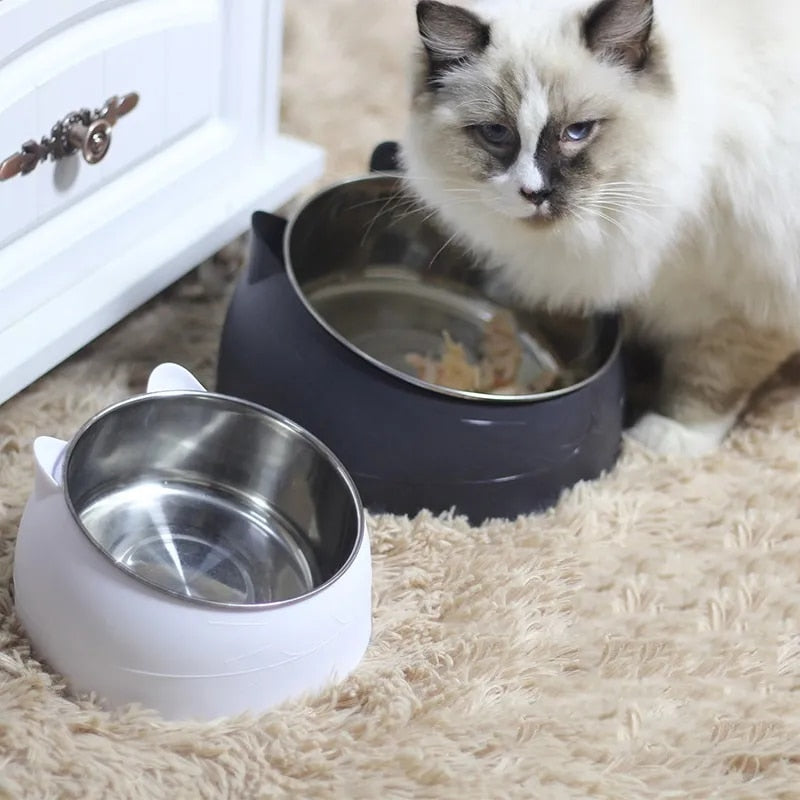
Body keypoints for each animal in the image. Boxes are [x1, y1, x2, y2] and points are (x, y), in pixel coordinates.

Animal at [404, 0, 800, 456]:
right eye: (496, 133)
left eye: (577, 132)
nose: (534, 193)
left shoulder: (753, 295)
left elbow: (712, 377)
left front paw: (670, 438)